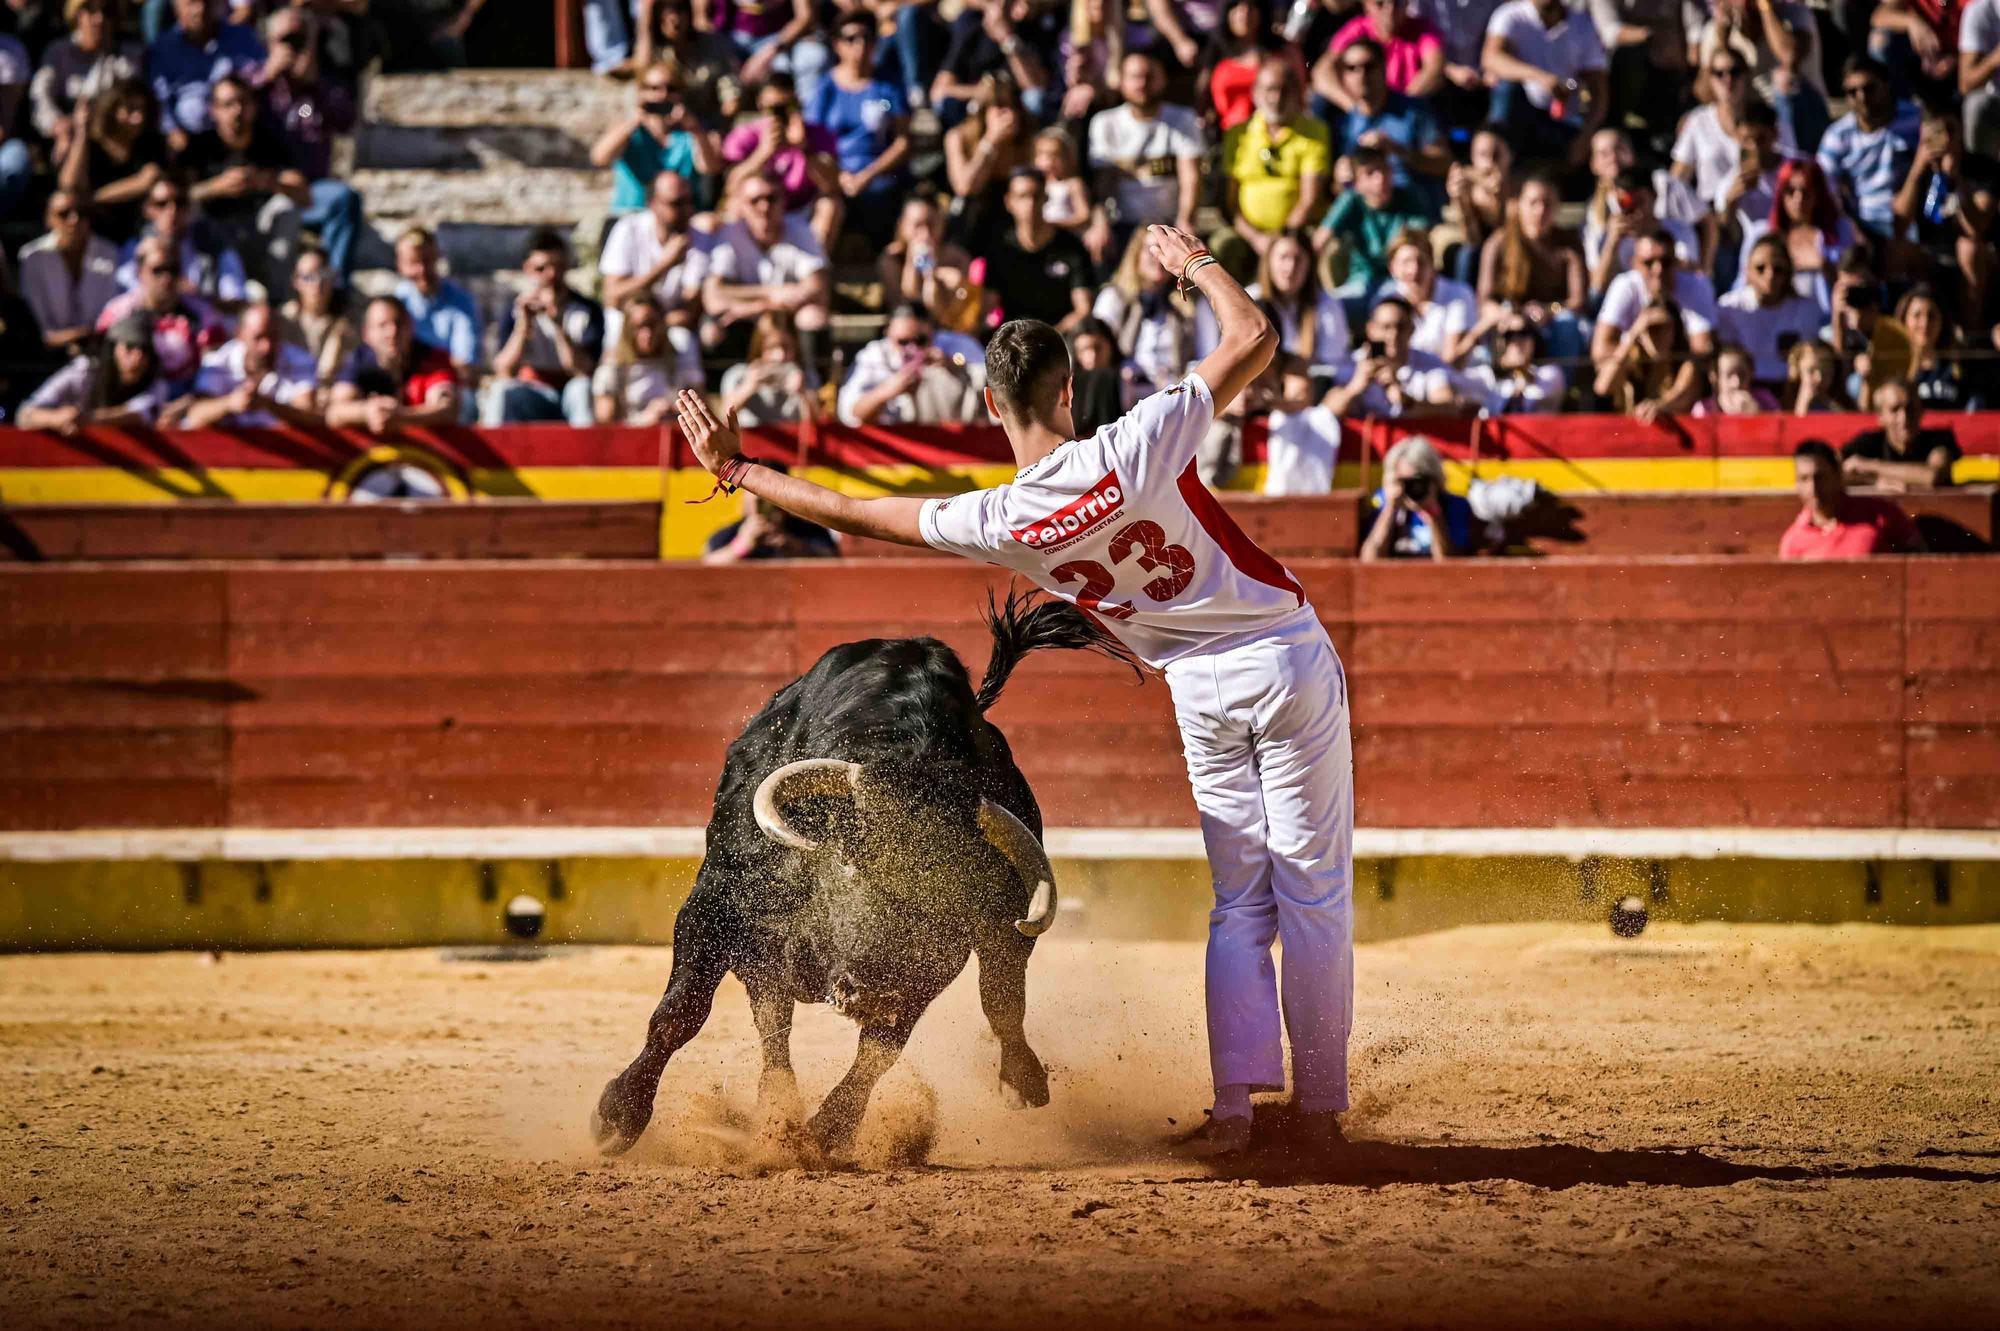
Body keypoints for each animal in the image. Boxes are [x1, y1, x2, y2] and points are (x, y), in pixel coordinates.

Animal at [584, 587, 1136, 1159]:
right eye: (850, 866)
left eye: (942, 900)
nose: (868, 986)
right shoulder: (715, 903)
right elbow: (684, 1013)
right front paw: (618, 1116)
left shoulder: (931, 965)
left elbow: (882, 1048)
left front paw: (826, 1133)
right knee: (770, 1017)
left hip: (1000, 937)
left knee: (999, 997)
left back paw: (1021, 1079)